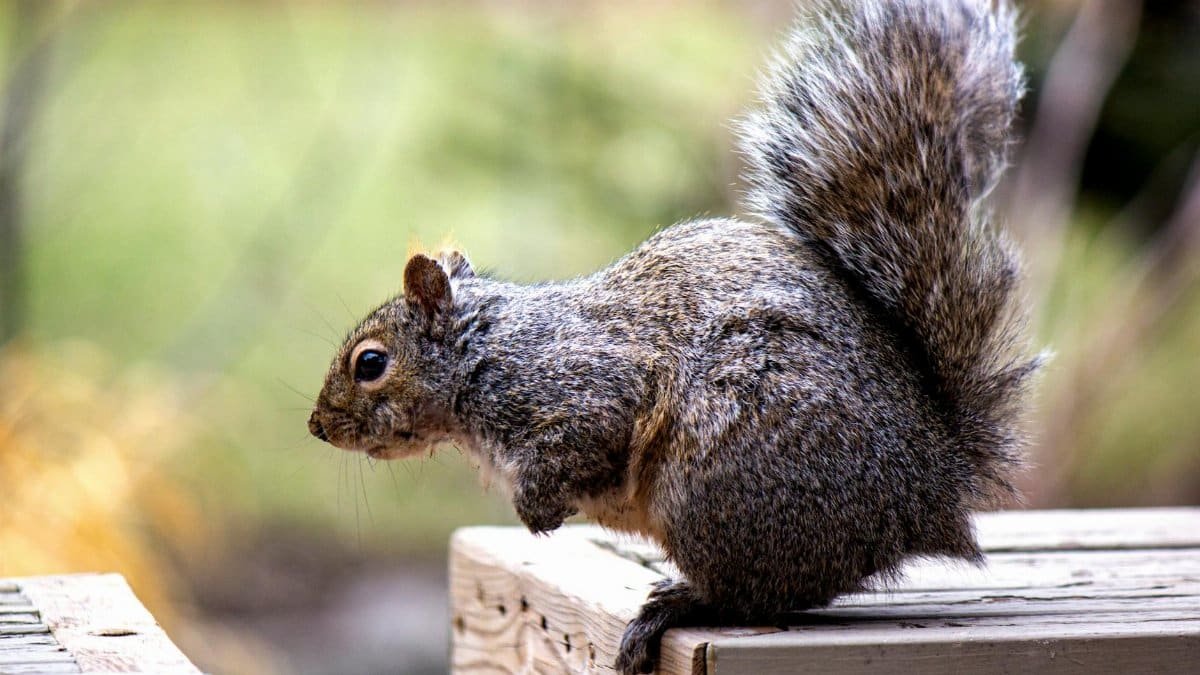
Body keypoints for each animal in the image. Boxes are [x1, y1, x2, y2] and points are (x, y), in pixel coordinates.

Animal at [308, 0, 1042, 672]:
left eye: (370, 363)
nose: (318, 426)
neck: (482, 354)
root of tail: (931, 489)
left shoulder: (580, 385)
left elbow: (586, 437)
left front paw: (539, 509)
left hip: (718, 482)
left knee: (755, 595)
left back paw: (676, 604)